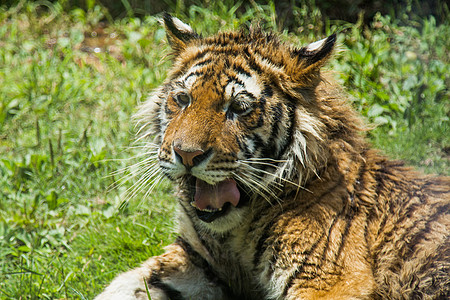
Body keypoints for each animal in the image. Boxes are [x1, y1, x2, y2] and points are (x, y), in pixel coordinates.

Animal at [93, 12, 448, 298]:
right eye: (182, 99)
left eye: (238, 107)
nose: (187, 154)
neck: (235, 232)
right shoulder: (197, 261)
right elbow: (125, 285)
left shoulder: (328, 280)